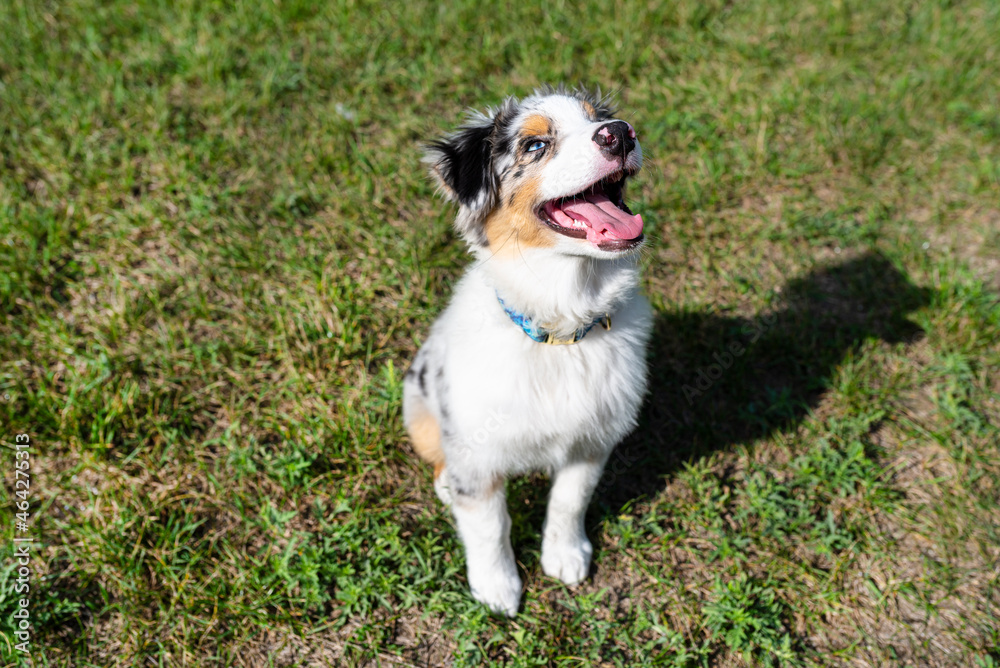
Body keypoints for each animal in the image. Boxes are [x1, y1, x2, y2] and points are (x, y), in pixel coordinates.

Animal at [402, 87, 652, 616]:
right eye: (535, 145)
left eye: (598, 119)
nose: (620, 133)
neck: (561, 333)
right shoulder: (476, 452)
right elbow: (489, 525)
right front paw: (497, 588)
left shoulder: (593, 438)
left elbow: (569, 501)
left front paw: (566, 557)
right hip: (417, 405)